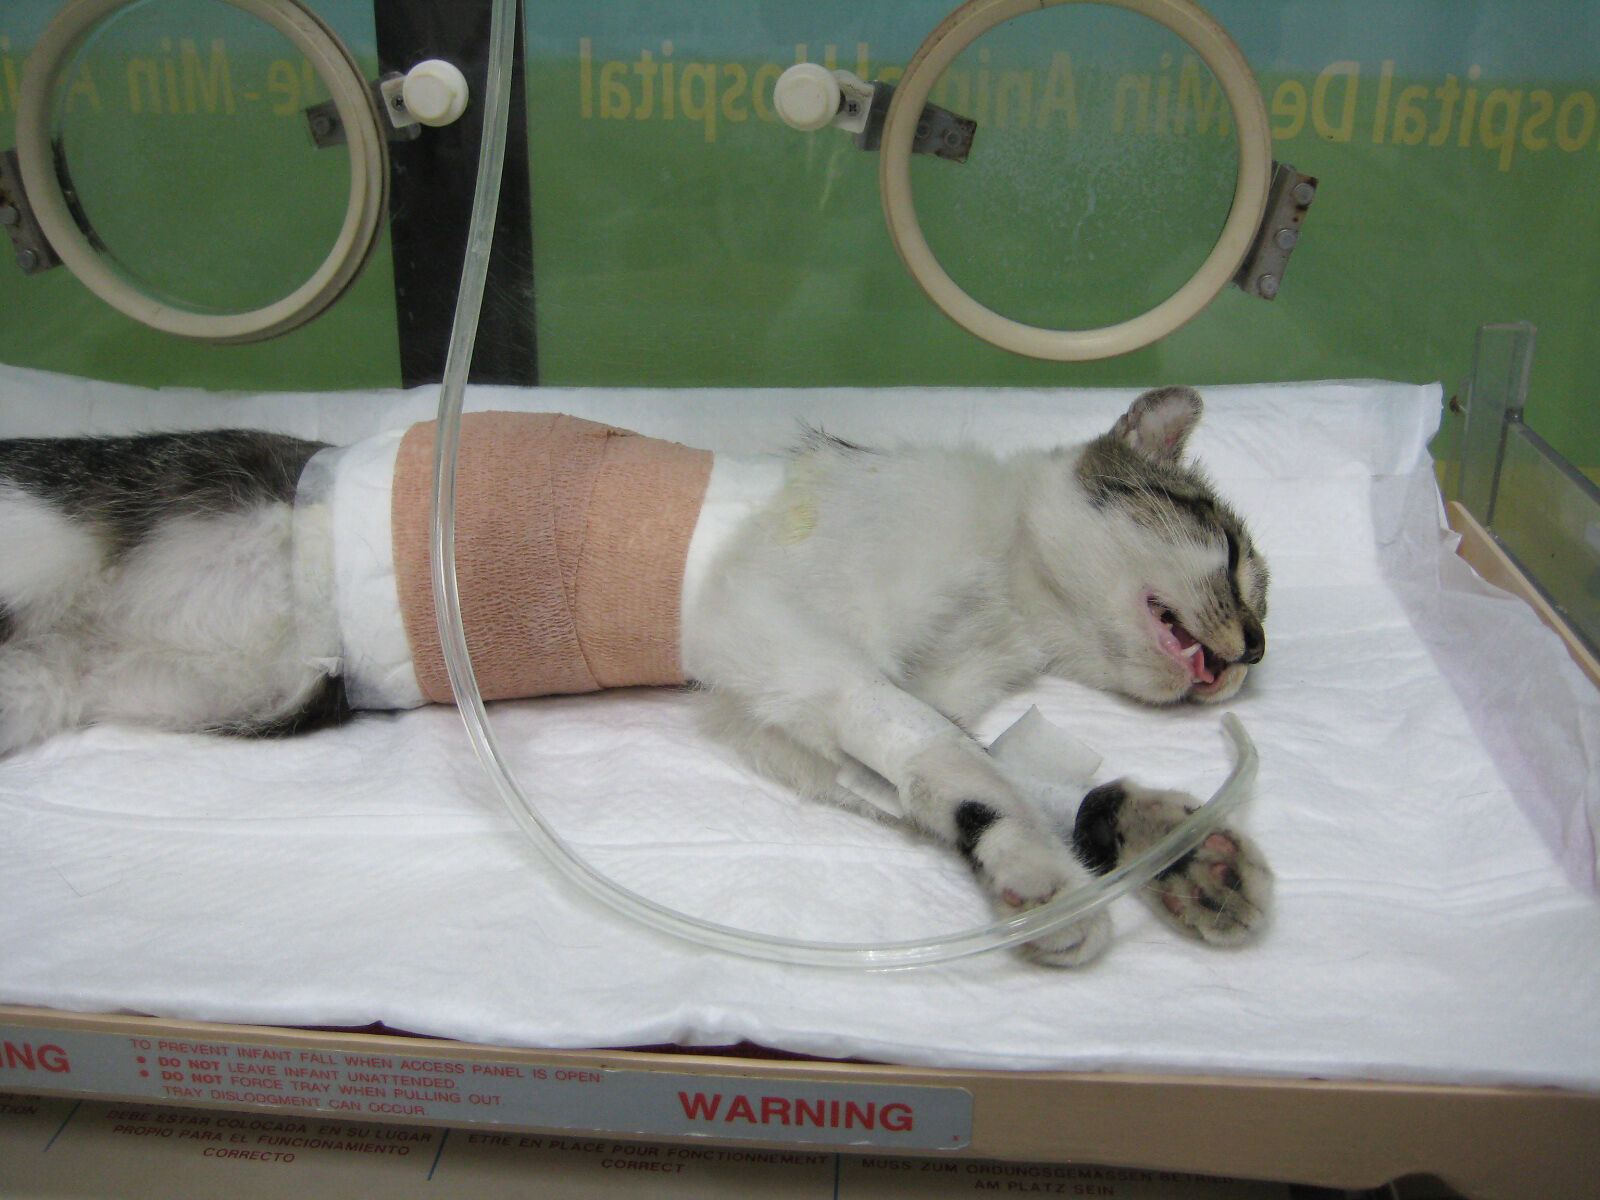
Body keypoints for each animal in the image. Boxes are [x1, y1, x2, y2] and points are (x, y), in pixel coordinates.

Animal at [0, 385, 1270, 965]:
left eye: (1257, 591)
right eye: (1231, 553)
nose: (1253, 651)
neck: (1005, 601)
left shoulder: (778, 716)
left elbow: (947, 773)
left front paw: (1170, 844)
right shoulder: (770, 623)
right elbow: (946, 749)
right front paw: (1049, 880)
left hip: (37, 691)